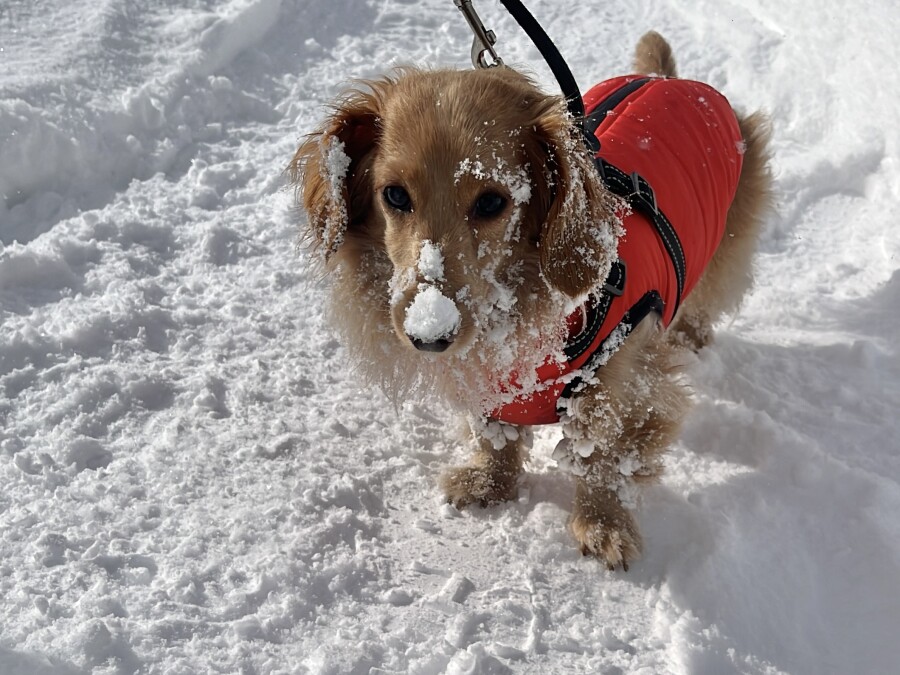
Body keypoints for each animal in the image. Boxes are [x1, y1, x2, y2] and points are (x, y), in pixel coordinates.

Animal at [290, 32, 772, 570]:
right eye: (394, 195)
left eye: (492, 202)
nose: (429, 335)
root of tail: (666, 77)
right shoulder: (490, 383)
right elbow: (495, 436)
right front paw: (490, 481)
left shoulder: (628, 382)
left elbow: (603, 457)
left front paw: (602, 525)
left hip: (727, 239)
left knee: (709, 294)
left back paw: (690, 334)